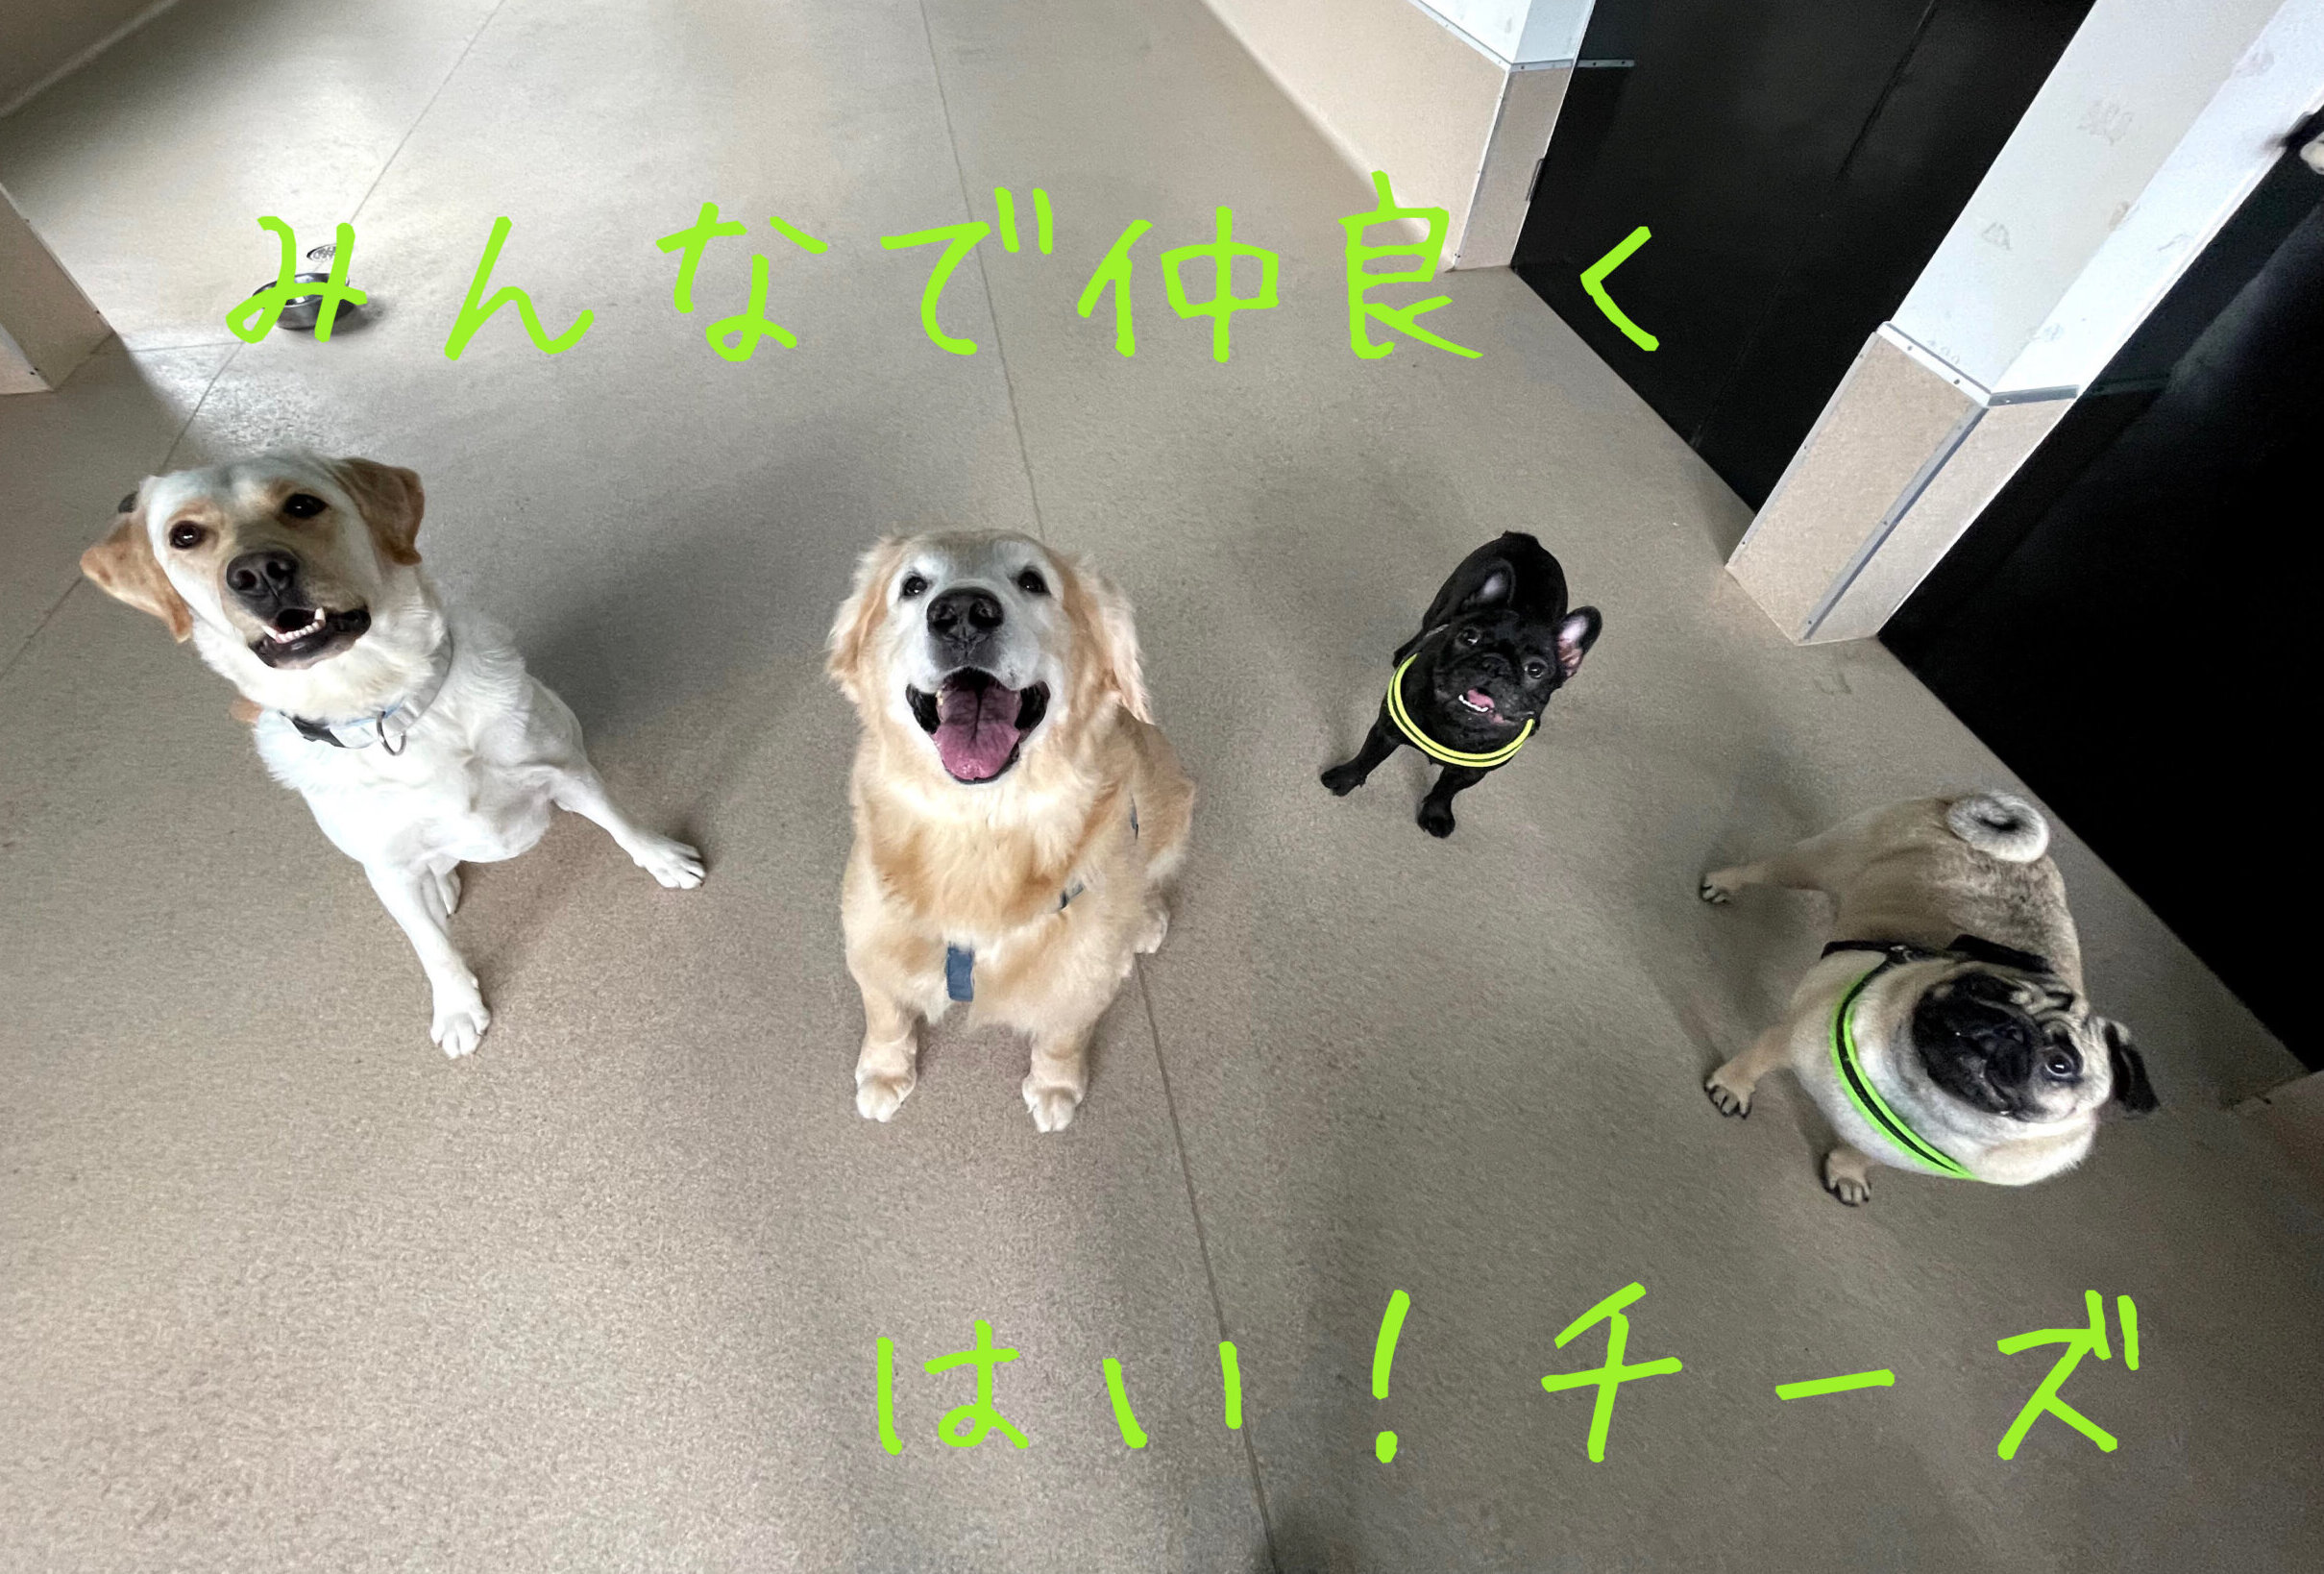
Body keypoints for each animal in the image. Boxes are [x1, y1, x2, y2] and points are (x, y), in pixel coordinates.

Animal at [80, 451, 704, 1057]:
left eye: (302, 504)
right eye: (184, 535)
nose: (258, 573)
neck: (386, 710)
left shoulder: (567, 771)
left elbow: (621, 822)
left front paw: (665, 859)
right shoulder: (387, 871)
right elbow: (431, 947)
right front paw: (457, 1009)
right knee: (435, 880)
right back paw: (444, 888)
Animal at [825, 531, 1192, 1132]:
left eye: (1032, 581)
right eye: (913, 585)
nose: (961, 614)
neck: (978, 831)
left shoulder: (1080, 977)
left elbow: (1063, 1036)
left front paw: (1056, 1087)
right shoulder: (869, 938)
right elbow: (886, 1014)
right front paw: (883, 1072)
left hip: (1174, 804)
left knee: (1155, 875)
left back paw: (1146, 921)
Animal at [1321, 532, 1600, 837]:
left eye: (1536, 670)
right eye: (1469, 636)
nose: (1494, 664)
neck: (1459, 726)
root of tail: (1527, 541)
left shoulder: (1472, 771)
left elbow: (1448, 788)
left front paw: (1436, 813)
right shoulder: (1388, 730)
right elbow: (1368, 757)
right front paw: (1344, 779)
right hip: (1444, 603)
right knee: (1428, 624)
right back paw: (1405, 651)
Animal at [1698, 792, 2156, 1205]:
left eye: (2061, 1065)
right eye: (1982, 989)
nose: (2009, 1027)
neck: (1925, 1097)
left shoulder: (1892, 1152)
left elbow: (1864, 1154)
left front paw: (1849, 1172)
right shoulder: (1788, 1037)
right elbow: (1754, 1062)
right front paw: (1734, 1086)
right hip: (1815, 862)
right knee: (1762, 869)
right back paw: (1723, 883)